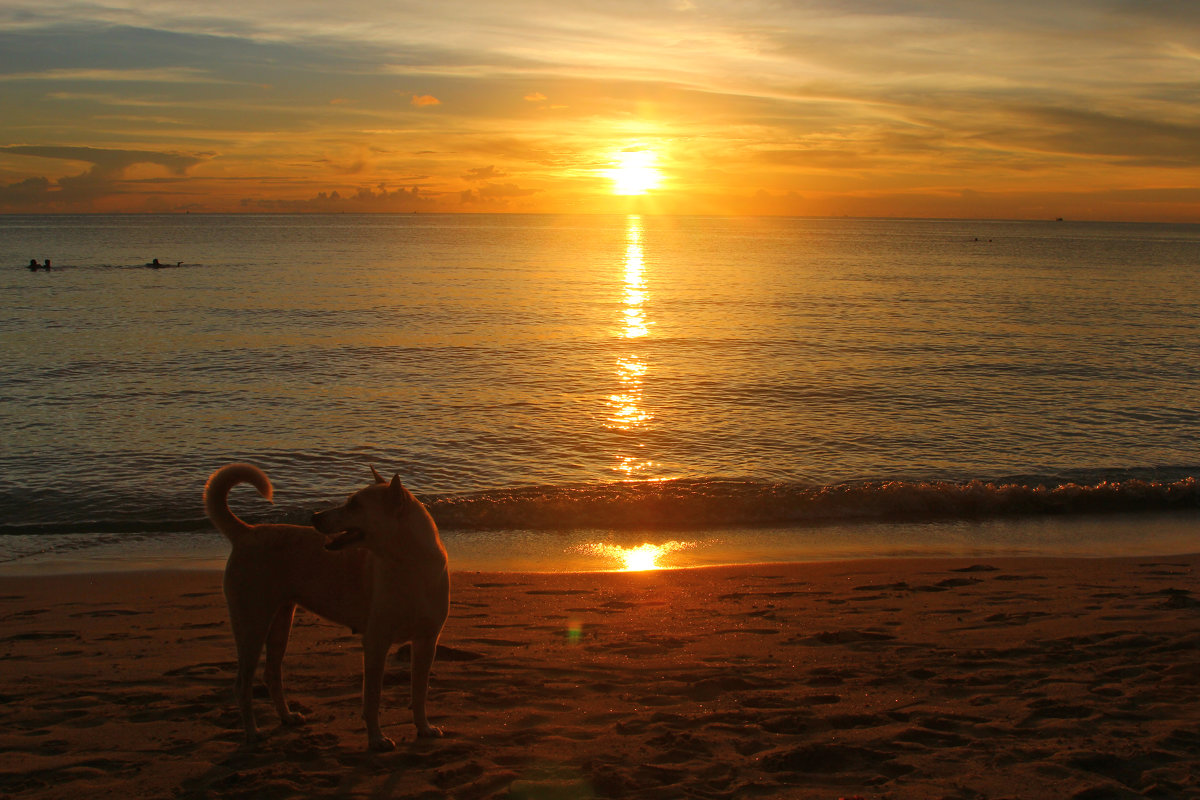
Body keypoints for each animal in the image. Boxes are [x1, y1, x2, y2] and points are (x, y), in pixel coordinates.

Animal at [204, 462, 451, 753]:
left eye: (354, 504)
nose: (315, 516)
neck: (410, 566)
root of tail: (246, 531)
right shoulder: (376, 641)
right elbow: (372, 697)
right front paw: (376, 739)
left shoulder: (427, 641)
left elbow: (419, 692)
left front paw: (424, 728)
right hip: (251, 623)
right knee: (242, 684)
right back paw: (253, 733)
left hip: (280, 622)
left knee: (271, 673)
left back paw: (287, 716)